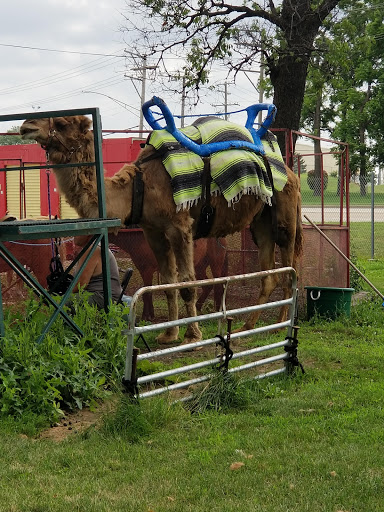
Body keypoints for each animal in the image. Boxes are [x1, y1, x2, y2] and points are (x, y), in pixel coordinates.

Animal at [20, 115, 304, 344]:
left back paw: (280, 325)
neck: (138, 188)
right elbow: (167, 281)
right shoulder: (153, 231)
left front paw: (192, 335)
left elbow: (187, 282)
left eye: (61, 123)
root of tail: (291, 173)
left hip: (285, 216)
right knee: (270, 273)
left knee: (291, 266)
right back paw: (249, 325)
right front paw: (169, 333)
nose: (26, 126)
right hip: (260, 222)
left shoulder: (180, 226)